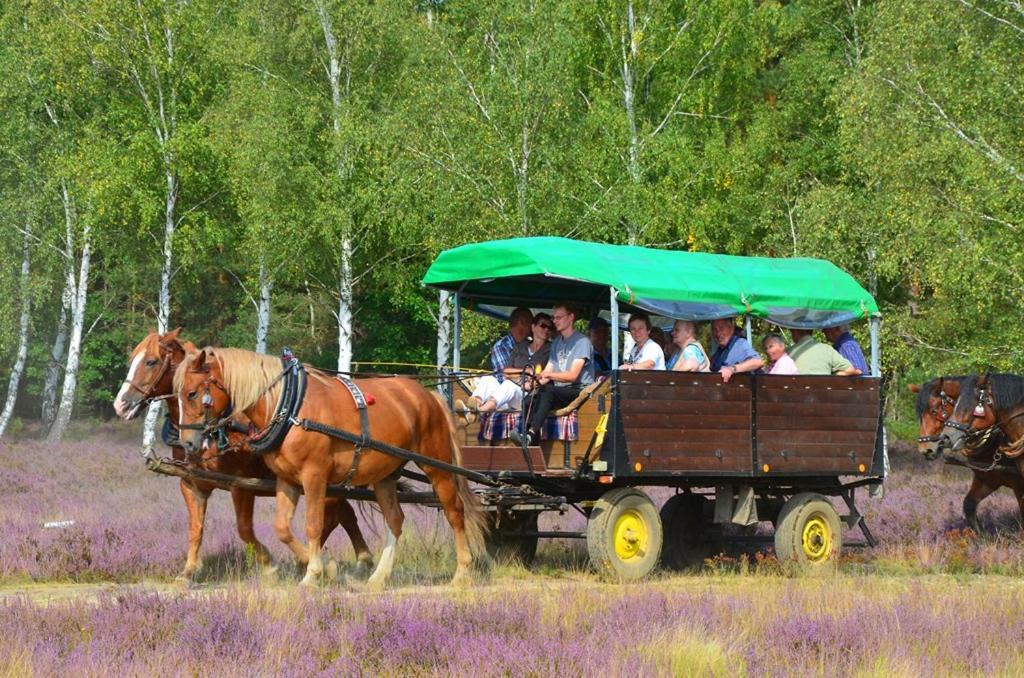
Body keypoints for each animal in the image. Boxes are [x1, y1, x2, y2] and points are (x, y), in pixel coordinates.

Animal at [116, 331, 372, 581]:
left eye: (151, 361)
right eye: (132, 360)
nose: (121, 404)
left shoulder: (241, 485)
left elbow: (244, 529)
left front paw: (270, 566)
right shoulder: (192, 483)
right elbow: (195, 528)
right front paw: (189, 571)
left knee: (332, 518)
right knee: (345, 515)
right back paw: (359, 561)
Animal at [173, 350, 487, 589]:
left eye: (191, 393)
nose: (187, 442)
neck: (288, 407)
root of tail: (431, 396)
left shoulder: (314, 476)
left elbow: (313, 524)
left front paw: (313, 574)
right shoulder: (286, 480)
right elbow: (282, 527)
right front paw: (322, 566)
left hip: (437, 466)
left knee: (455, 512)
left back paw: (462, 572)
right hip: (385, 474)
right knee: (395, 520)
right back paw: (378, 577)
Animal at [913, 378, 1024, 532]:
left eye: (934, 410)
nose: (925, 449)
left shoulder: (1018, 485)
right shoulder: (987, 480)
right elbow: (969, 505)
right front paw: (981, 535)